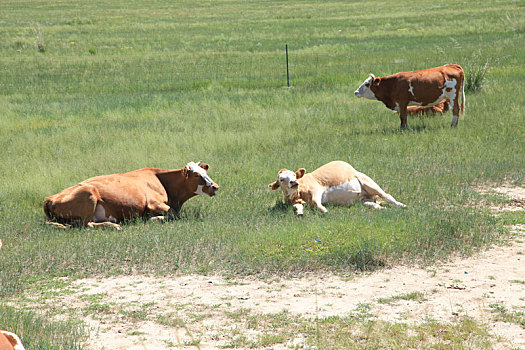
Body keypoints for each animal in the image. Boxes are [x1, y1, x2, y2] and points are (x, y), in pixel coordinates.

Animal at [42, 162, 219, 230]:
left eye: (205, 172)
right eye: (196, 175)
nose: (215, 186)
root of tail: (50, 198)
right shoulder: (154, 203)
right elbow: (173, 214)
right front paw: (153, 219)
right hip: (89, 193)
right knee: (87, 224)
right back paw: (113, 225)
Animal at [266, 160, 406, 215]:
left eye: (294, 175)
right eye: (281, 179)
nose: (294, 182)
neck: (298, 194)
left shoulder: (317, 189)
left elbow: (316, 201)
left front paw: (324, 210)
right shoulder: (295, 202)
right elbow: (298, 207)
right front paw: (300, 212)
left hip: (368, 183)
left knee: (387, 196)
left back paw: (402, 206)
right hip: (364, 200)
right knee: (374, 204)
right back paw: (381, 208)